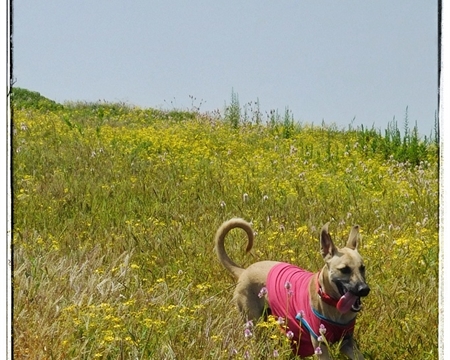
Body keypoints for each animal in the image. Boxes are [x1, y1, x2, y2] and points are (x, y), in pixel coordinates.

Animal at [214, 218, 370, 358]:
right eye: (344, 270)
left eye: (362, 268)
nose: (364, 289)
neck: (330, 301)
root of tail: (243, 271)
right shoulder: (320, 345)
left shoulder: (348, 343)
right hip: (254, 324)